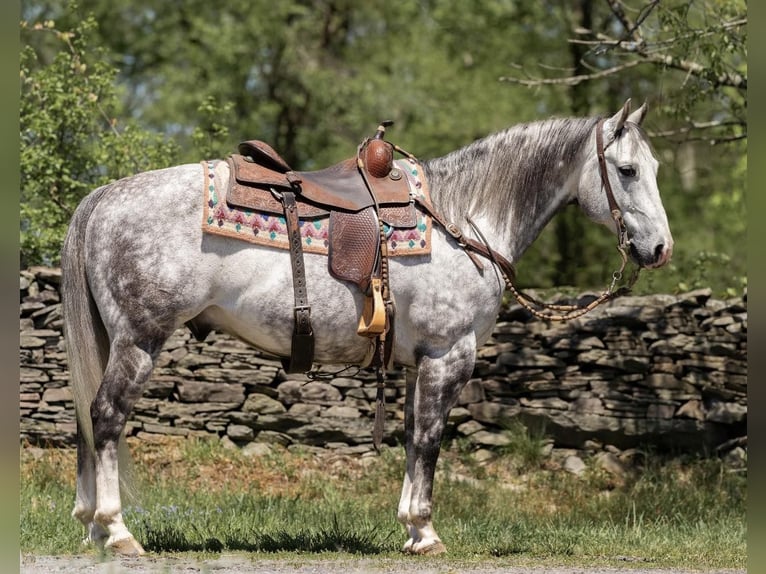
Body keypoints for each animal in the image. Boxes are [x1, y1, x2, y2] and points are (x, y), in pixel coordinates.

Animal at [63, 101, 672, 556]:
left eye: (655, 168)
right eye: (626, 170)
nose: (661, 249)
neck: (463, 217)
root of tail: (103, 198)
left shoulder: (418, 363)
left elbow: (411, 437)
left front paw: (410, 528)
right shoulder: (449, 356)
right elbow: (429, 441)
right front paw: (426, 532)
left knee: (87, 418)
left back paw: (91, 525)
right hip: (139, 340)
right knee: (107, 416)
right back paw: (117, 531)